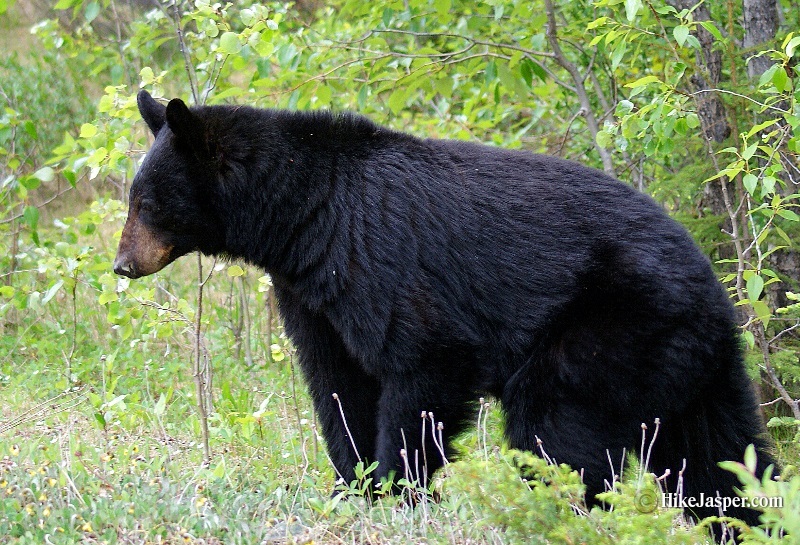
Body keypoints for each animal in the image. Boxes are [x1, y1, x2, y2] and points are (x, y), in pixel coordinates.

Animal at [117, 89, 776, 524]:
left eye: (147, 203)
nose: (122, 264)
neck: (305, 217)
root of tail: (719, 300)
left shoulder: (379, 262)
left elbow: (421, 364)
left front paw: (396, 489)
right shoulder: (310, 292)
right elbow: (337, 383)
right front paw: (349, 486)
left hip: (617, 324)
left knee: (554, 423)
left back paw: (542, 509)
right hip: (690, 369)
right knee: (718, 454)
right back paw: (748, 520)